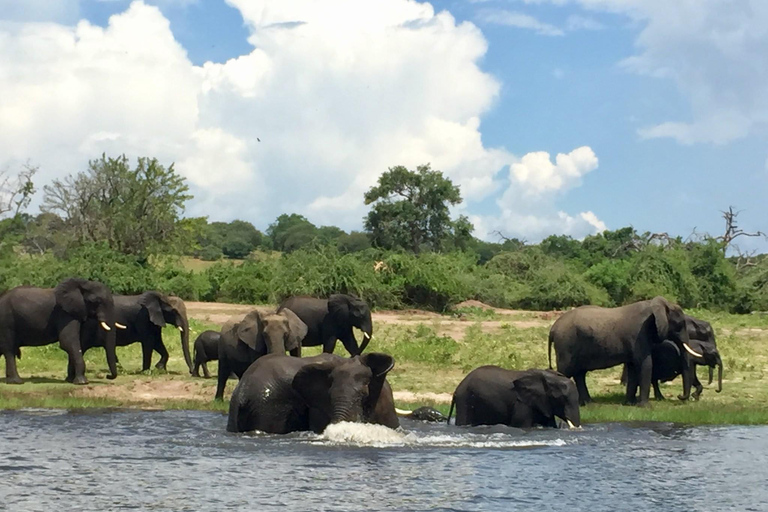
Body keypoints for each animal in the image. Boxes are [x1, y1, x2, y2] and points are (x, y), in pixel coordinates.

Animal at [544, 298, 696, 406]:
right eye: (680, 324)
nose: (680, 397)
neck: (656, 305)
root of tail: (553, 329)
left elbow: (633, 367)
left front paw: (629, 404)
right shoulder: (639, 334)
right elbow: (645, 364)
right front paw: (645, 407)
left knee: (579, 373)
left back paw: (589, 404)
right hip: (566, 345)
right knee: (565, 371)